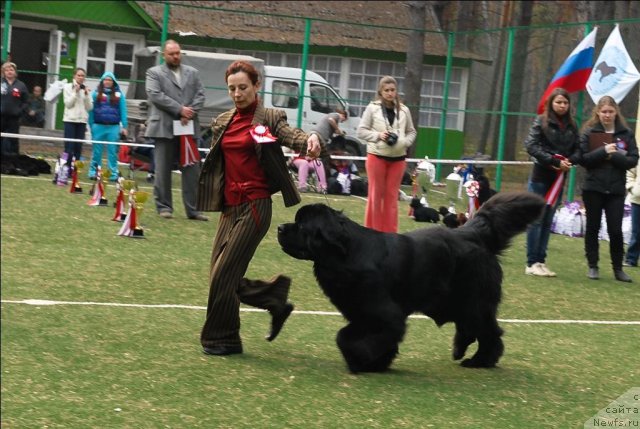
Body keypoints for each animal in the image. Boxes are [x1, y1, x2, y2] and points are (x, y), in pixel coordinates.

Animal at [278, 192, 544, 372]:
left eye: (301, 225)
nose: (280, 227)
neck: (345, 254)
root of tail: (473, 232)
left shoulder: (385, 314)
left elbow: (350, 337)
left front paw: (361, 359)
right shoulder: (361, 314)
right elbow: (349, 335)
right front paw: (378, 362)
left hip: (474, 300)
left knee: (489, 331)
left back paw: (481, 360)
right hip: (456, 301)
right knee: (470, 328)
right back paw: (460, 351)